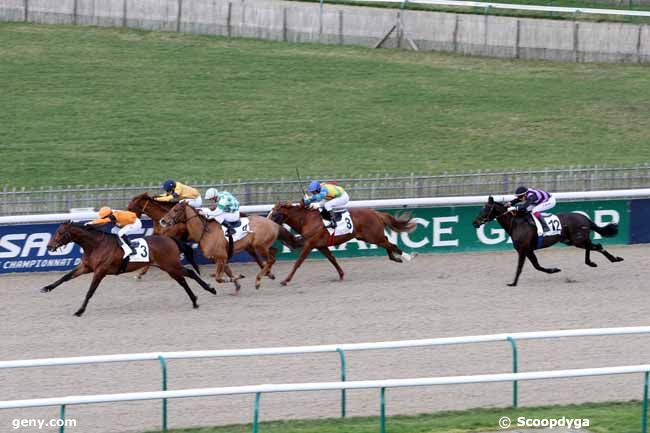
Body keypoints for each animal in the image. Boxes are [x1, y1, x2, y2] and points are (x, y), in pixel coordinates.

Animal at [41, 221, 216, 316]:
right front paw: (47, 288)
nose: (49, 246)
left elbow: (90, 291)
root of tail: (170, 238)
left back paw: (205, 293)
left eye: (60, 232)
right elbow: (65, 277)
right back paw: (199, 297)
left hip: (170, 266)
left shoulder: (100, 271)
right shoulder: (85, 267)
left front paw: (80, 310)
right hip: (168, 267)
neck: (96, 245)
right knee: (186, 277)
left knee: (187, 276)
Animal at [159, 201, 302, 292]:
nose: (163, 221)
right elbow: (226, 272)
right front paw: (237, 284)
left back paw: (258, 279)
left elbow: (219, 278)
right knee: (272, 252)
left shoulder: (221, 257)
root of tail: (273, 223)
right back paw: (268, 273)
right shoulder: (220, 258)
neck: (205, 232)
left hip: (259, 245)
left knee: (271, 259)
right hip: (260, 245)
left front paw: (238, 278)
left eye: (176, 210)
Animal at [268, 201, 416, 286]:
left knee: (391, 244)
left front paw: (285, 280)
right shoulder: (321, 246)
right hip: (368, 237)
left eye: (274, 214)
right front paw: (341, 275)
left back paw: (408, 257)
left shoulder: (310, 244)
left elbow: (298, 262)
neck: (306, 219)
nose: (267, 223)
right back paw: (395, 258)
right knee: (386, 241)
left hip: (373, 237)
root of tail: (376, 213)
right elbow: (332, 259)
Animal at [470, 197, 624, 286]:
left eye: (485, 209)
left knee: (597, 246)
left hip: (577, 239)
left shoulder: (523, 249)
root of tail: (585, 218)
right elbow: (536, 265)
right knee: (591, 246)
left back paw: (615, 259)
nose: (474, 222)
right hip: (573, 240)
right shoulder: (528, 249)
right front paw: (553, 270)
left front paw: (513, 283)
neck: (516, 223)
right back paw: (592, 262)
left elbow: (520, 267)